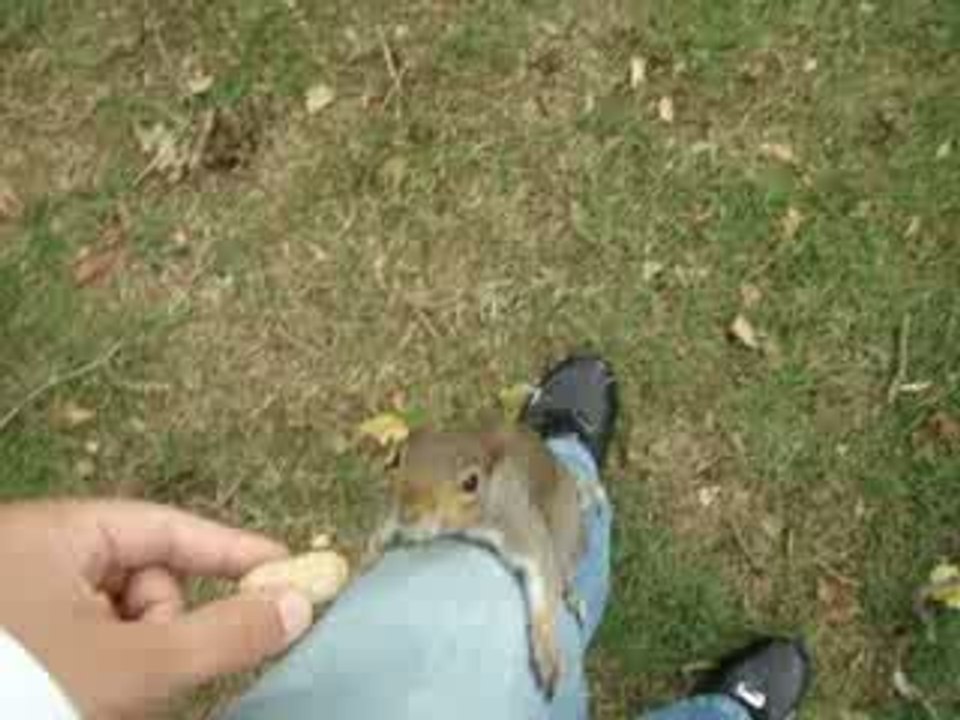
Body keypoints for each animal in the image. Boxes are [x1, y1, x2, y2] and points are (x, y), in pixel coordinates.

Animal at [371, 426, 584, 699]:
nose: (408, 513)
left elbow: (541, 569)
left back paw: (574, 595)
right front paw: (373, 547)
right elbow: (385, 526)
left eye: (471, 483)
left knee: (564, 568)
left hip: (566, 528)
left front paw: (546, 648)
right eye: (397, 458)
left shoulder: (519, 522)